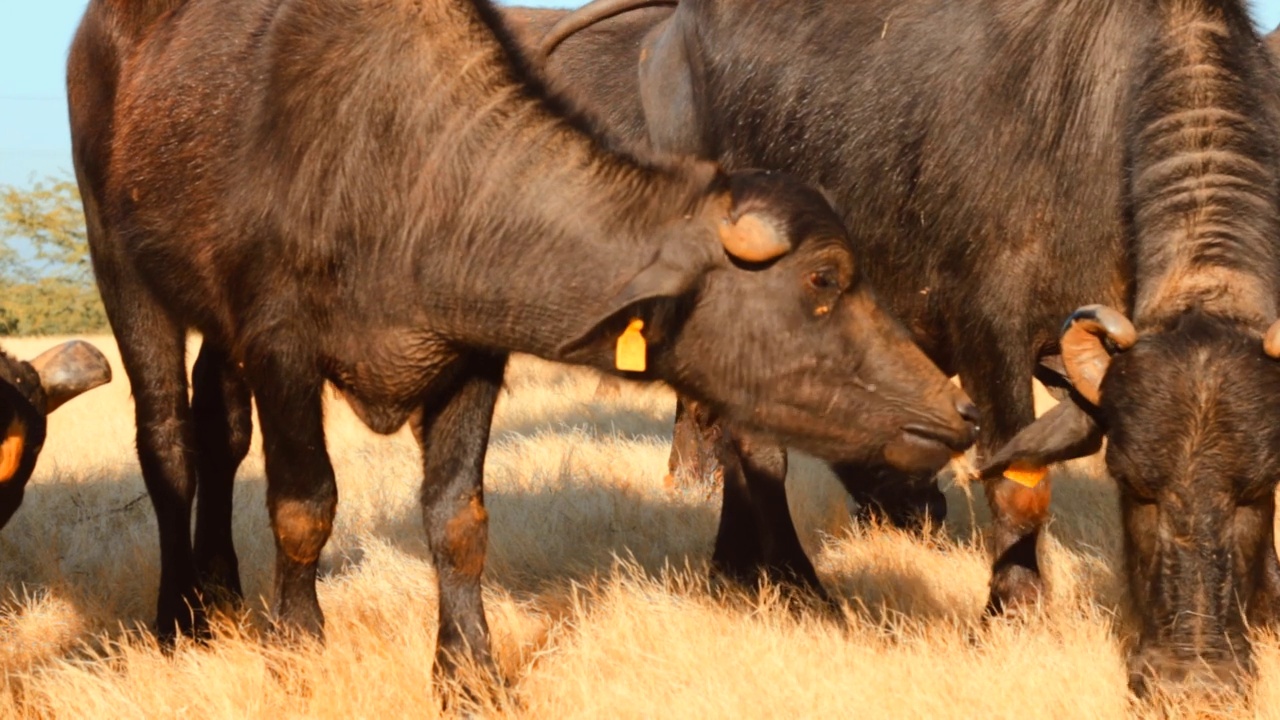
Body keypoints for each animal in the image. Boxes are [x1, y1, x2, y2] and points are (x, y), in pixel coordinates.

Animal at [64, 0, 972, 676]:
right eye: (824, 280)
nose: (958, 413)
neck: (406, 174)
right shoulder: (283, 346)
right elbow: (303, 507)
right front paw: (297, 649)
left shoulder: (468, 360)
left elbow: (458, 521)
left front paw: (469, 671)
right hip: (123, 271)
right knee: (170, 441)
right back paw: (180, 614)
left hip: (220, 327)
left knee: (220, 431)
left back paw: (220, 591)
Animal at [540, 0, 1280, 691]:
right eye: (1133, 487)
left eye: (1258, 488)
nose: (1195, 676)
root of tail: (667, 35)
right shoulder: (990, 333)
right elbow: (1019, 490)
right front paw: (1013, 611)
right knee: (756, 447)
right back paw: (796, 583)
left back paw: (735, 568)